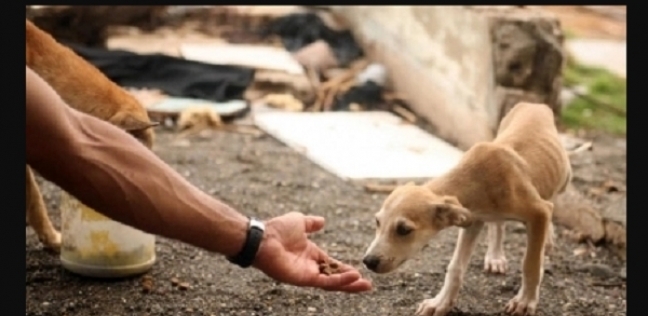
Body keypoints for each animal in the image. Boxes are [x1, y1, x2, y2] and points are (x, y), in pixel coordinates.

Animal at [364, 102, 572, 314]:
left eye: (404, 230)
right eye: (377, 222)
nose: (368, 261)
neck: (477, 178)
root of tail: (533, 103)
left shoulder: (538, 211)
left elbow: (530, 263)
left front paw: (525, 301)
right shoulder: (473, 220)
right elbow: (455, 267)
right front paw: (440, 303)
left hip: (564, 178)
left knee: (551, 200)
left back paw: (546, 239)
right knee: (499, 224)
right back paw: (496, 256)